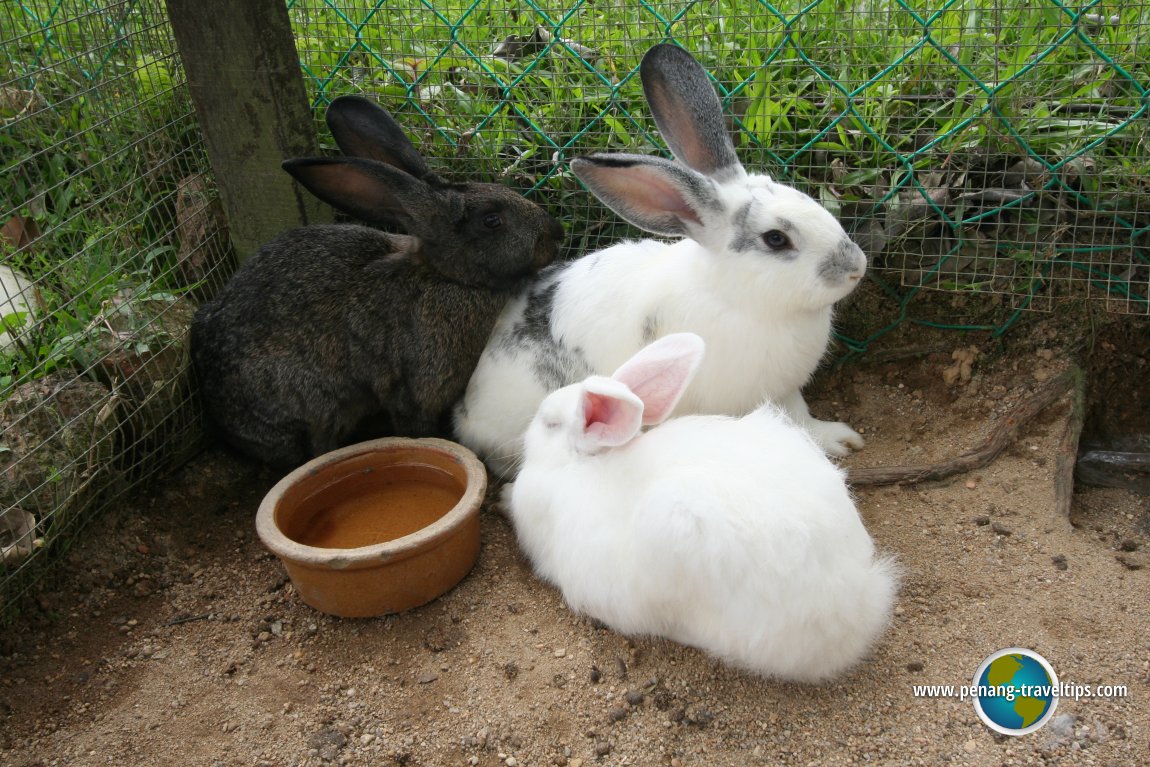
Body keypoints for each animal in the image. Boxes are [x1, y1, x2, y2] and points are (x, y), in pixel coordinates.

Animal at [190, 96, 563, 469]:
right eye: (492, 220)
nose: (555, 233)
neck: (445, 276)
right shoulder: (416, 389)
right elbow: (416, 426)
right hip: (311, 404)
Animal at [453, 43, 864, 480]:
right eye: (776, 239)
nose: (857, 267)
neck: (742, 302)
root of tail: (465, 412)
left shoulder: (787, 390)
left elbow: (801, 419)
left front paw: (839, 439)